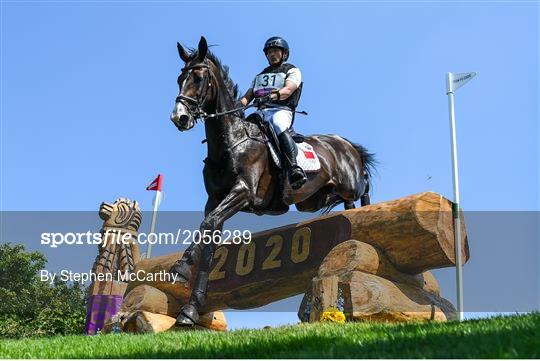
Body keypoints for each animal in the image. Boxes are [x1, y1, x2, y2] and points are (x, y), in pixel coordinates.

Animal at [169, 36, 376, 326]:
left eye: (198, 78)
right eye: (180, 78)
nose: (179, 117)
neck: (231, 143)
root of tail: (346, 144)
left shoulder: (243, 193)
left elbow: (207, 225)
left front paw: (180, 268)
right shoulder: (214, 201)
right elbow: (209, 237)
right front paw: (190, 309)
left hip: (351, 183)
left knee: (364, 188)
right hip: (315, 199)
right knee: (345, 204)